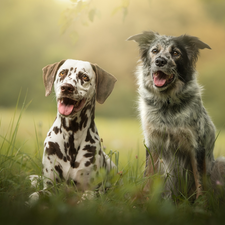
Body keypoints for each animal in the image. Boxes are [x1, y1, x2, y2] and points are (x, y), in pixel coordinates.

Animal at [29, 59, 117, 202]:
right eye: (62, 73)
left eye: (84, 77)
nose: (67, 87)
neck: (72, 133)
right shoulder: (50, 186)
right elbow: (37, 195)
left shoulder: (93, 190)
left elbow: (87, 197)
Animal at [127, 30, 224, 200]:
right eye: (154, 51)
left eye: (175, 53)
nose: (160, 61)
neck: (167, 103)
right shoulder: (153, 144)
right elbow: (148, 176)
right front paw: (142, 200)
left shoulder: (196, 147)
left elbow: (199, 181)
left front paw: (200, 204)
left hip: (220, 162)